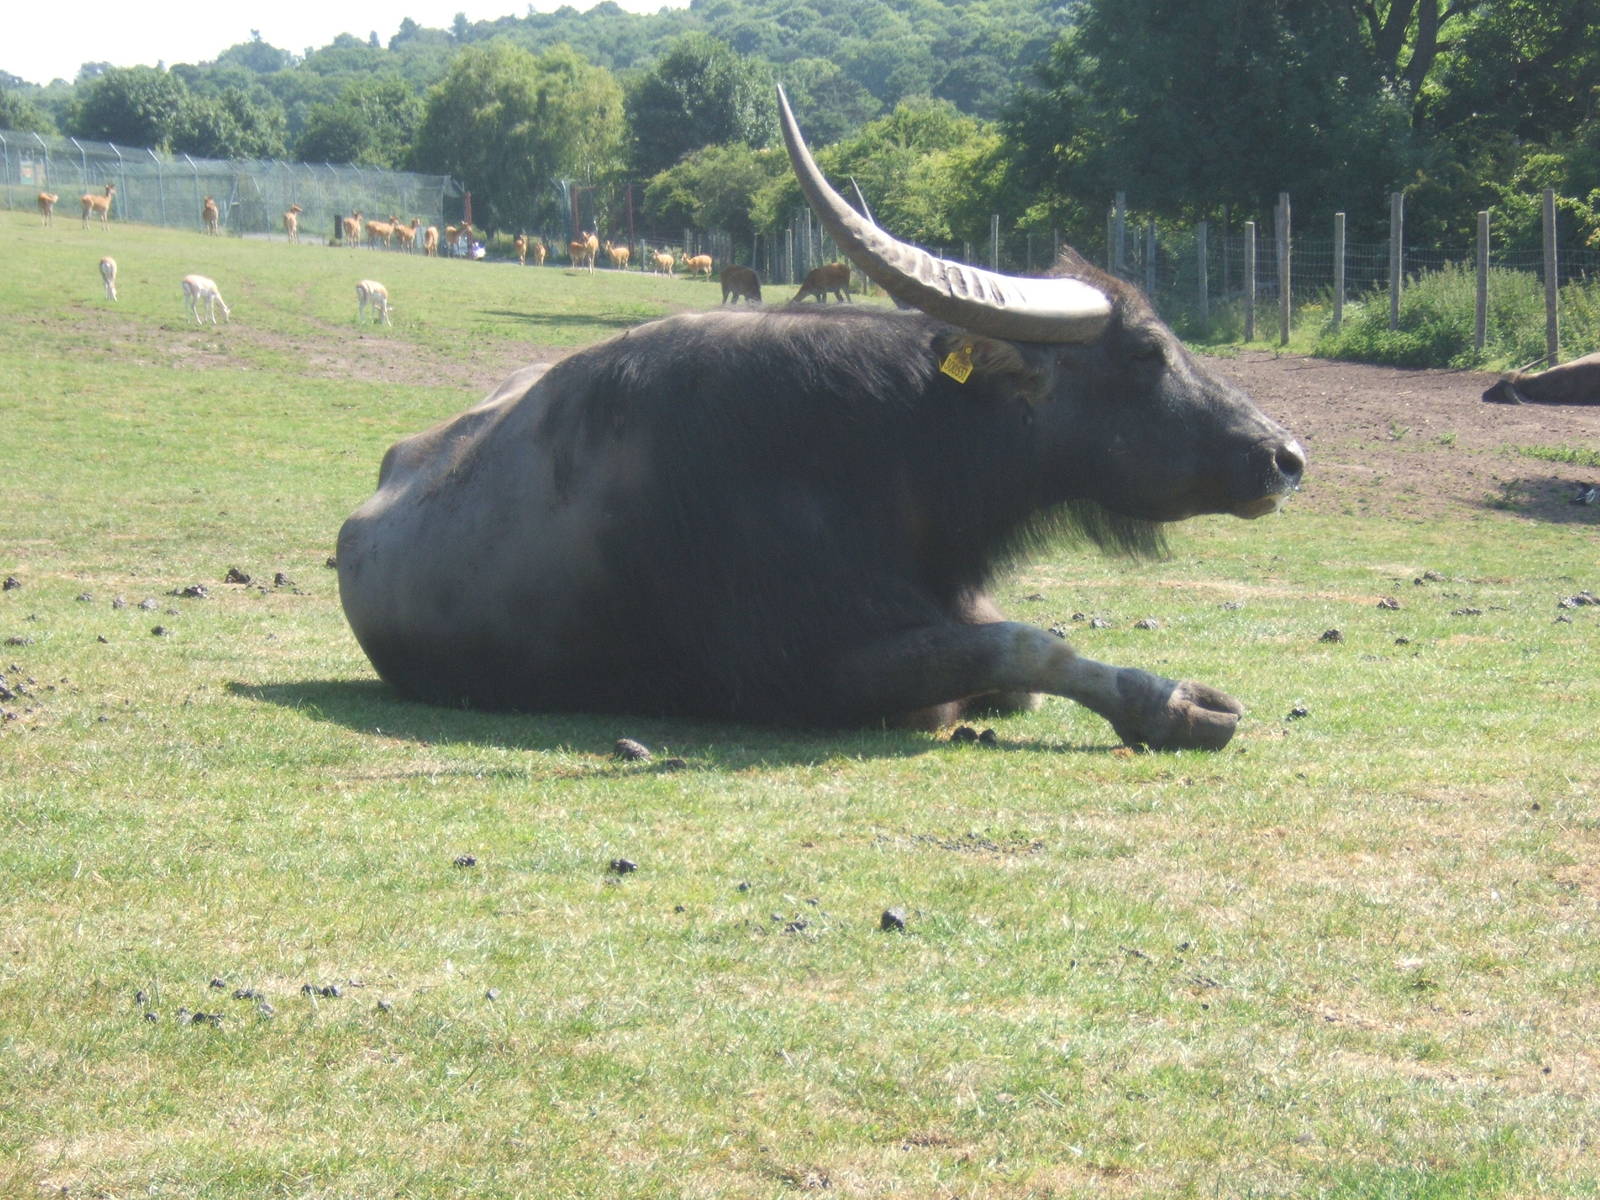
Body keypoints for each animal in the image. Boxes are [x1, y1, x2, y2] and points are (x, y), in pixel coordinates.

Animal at [336, 88, 1304, 750]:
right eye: (1144, 351)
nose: (1285, 456)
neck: (887, 459)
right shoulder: (818, 673)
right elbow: (1027, 649)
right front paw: (1177, 705)